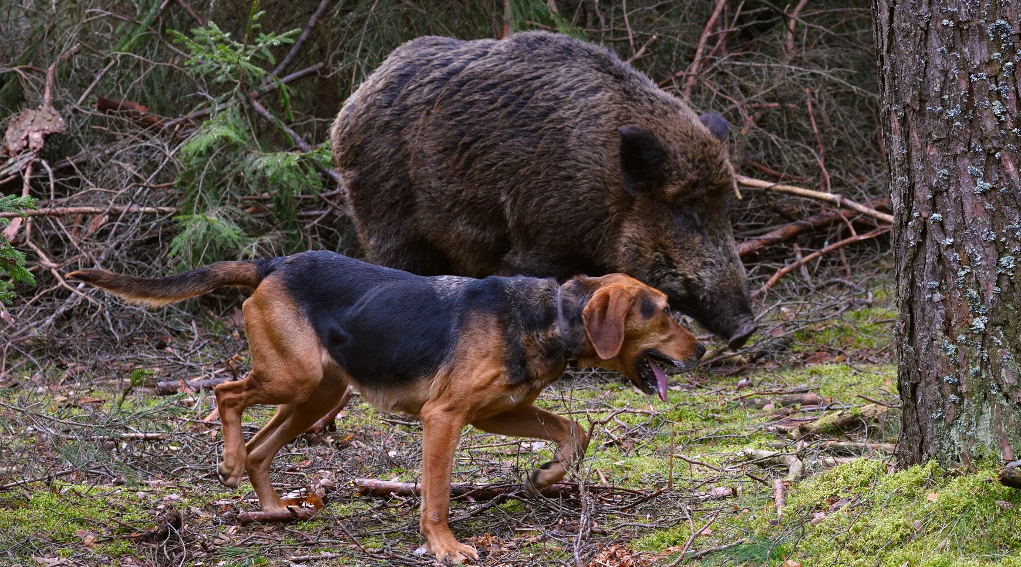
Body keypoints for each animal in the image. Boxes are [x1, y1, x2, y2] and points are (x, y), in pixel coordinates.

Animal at [69, 253, 702, 563]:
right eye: (665, 312)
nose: (702, 350)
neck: (551, 315)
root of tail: (275, 263)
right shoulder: (444, 418)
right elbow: (437, 497)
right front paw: (446, 548)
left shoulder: (496, 412)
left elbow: (574, 432)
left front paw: (545, 476)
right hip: (293, 378)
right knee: (226, 395)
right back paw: (226, 462)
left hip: (318, 394)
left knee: (260, 448)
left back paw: (272, 509)